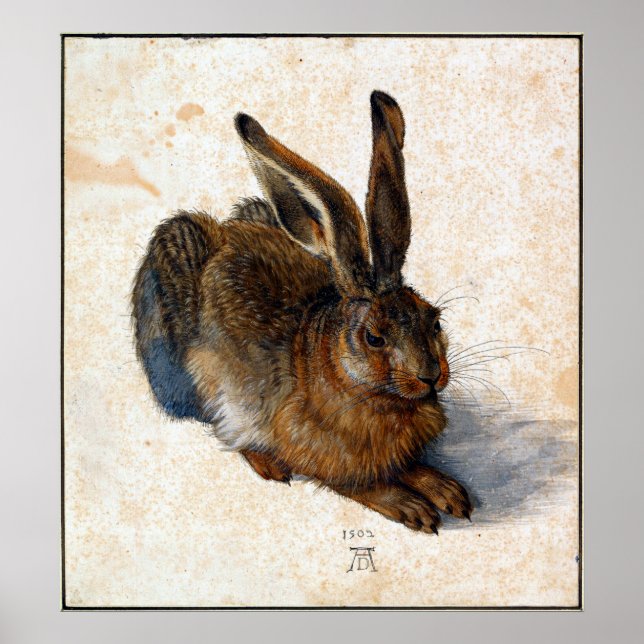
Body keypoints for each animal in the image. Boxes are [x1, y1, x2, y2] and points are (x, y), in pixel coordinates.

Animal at [132, 91, 472, 534]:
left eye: (435, 320)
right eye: (374, 338)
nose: (431, 376)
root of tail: (225, 233)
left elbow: (409, 466)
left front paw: (449, 491)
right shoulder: (317, 451)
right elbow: (362, 483)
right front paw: (411, 506)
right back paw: (266, 462)